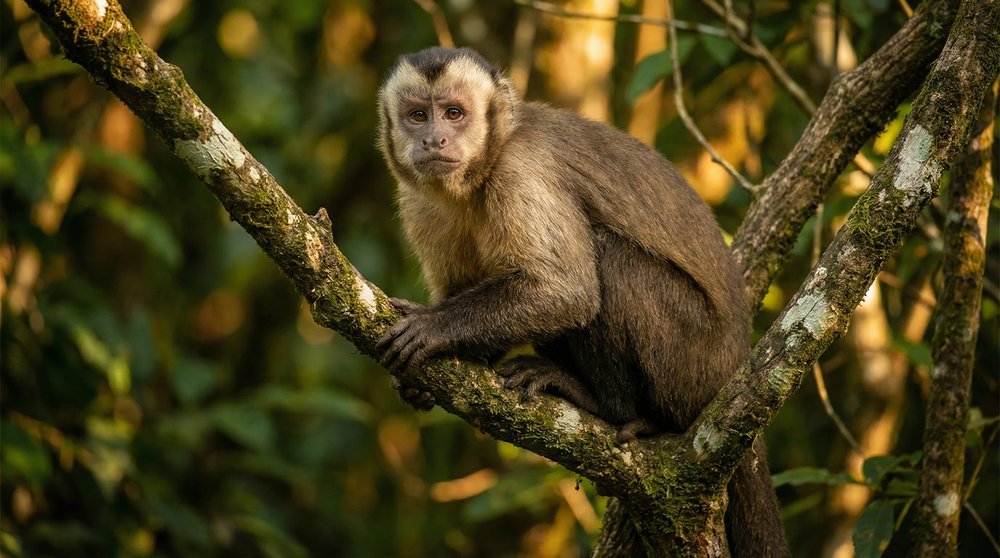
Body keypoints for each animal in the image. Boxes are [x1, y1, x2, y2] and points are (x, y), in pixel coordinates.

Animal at [375, 47, 788, 557]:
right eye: (417, 116)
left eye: (454, 113)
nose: (434, 139)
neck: (485, 166)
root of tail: (736, 362)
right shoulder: (419, 200)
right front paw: (424, 382)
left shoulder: (522, 171)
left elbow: (567, 291)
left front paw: (434, 327)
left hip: (694, 362)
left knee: (611, 260)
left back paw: (606, 405)